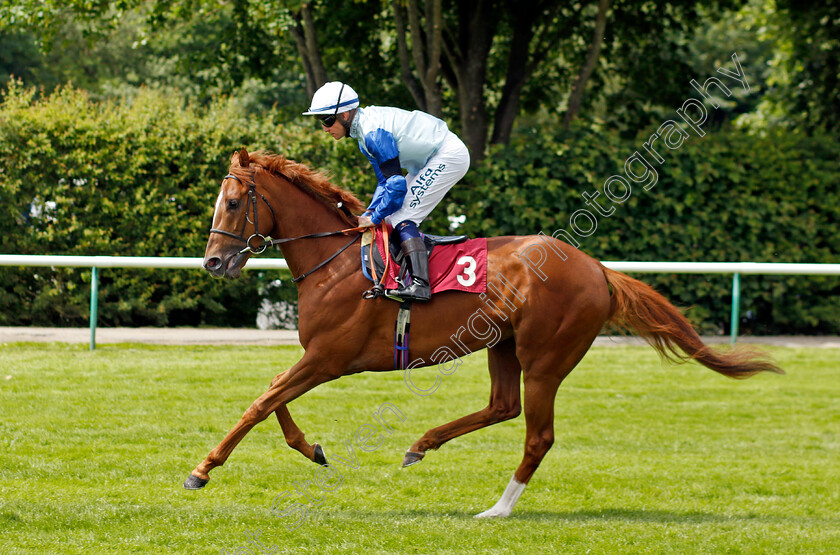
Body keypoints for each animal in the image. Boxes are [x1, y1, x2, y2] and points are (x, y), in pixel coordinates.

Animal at [187, 148, 784, 516]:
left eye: (234, 202)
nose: (213, 262)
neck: (334, 261)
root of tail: (598, 269)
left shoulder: (329, 358)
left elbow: (261, 401)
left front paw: (202, 470)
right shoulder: (318, 357)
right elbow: (272, 394)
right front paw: (311, 448)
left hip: (545, 359)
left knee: (537, 435)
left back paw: (497, 508)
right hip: (504, 344)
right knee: (503, 406)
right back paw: (421, 445)